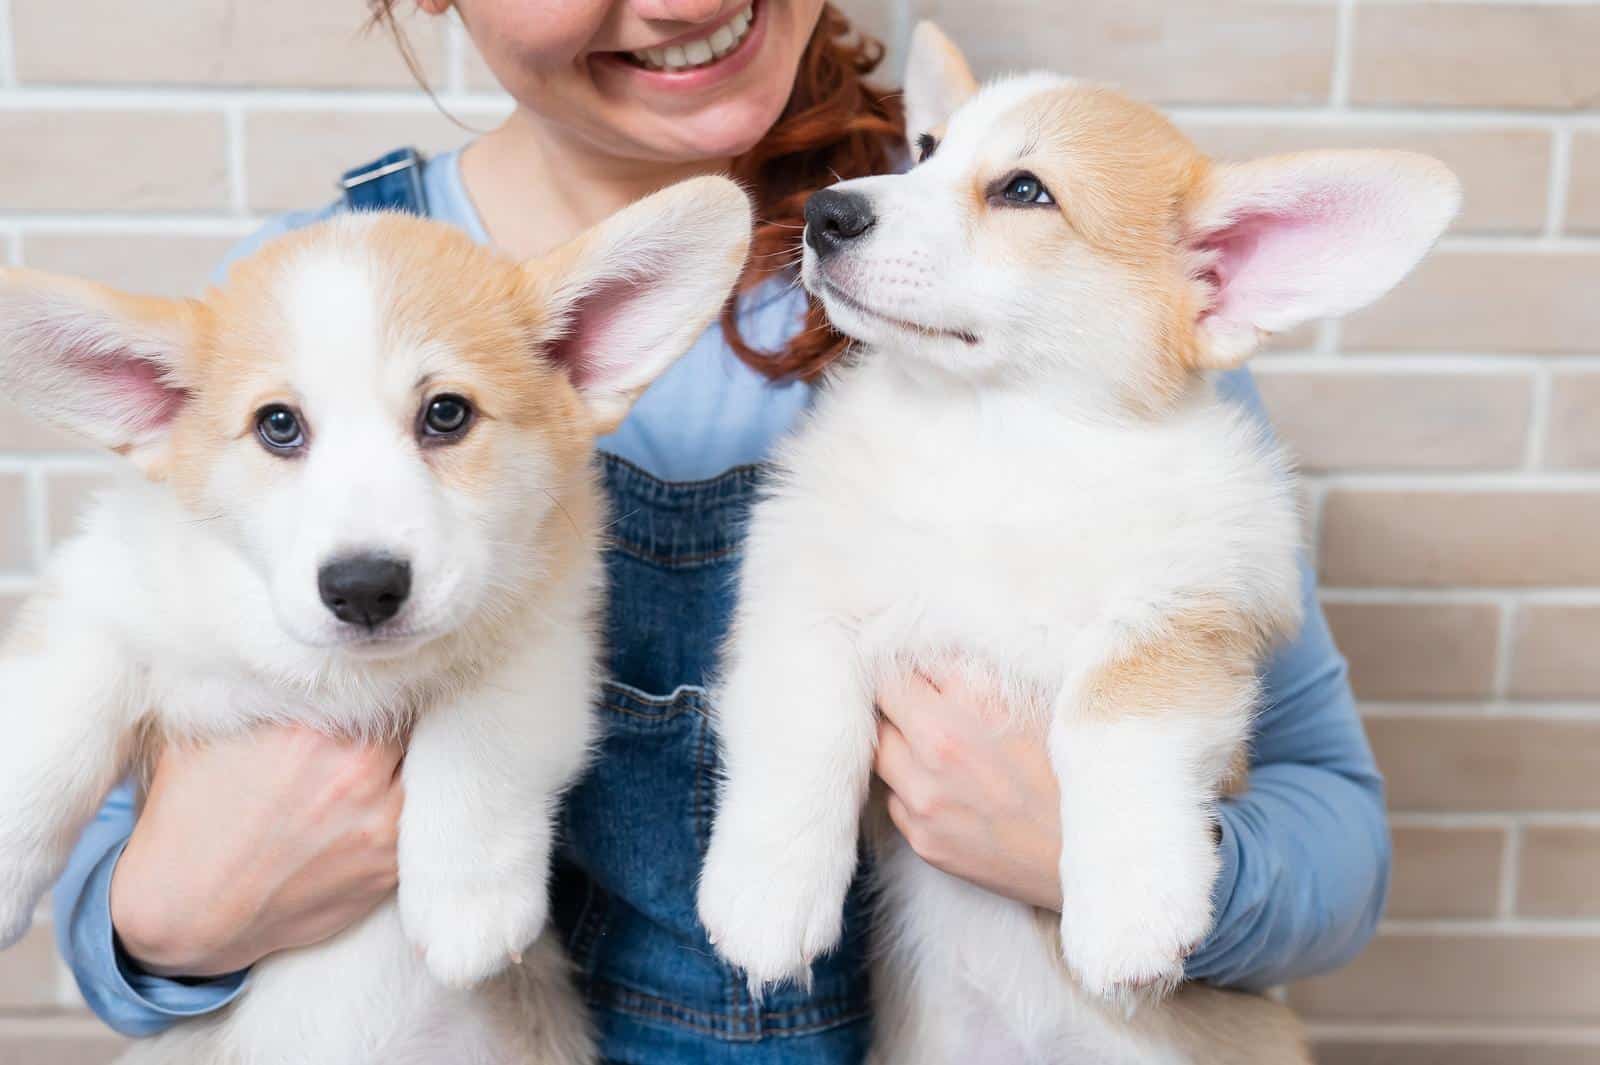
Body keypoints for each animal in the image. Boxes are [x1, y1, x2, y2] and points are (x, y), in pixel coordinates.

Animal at [0, 175, 752, 1061]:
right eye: (278, 425)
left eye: (447, 414)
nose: (363, 587)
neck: (337, 674)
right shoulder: (102, 594)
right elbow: (54, 725)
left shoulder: (550, 638)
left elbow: (480, 732)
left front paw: (466, 900)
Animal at [694, 22, 1459, 1061]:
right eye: (926, 151)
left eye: (1025, 191)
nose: (826, 212)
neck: (1000, 443)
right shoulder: (805, 592)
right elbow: (806, 724)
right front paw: (766, 899)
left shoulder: (1183, 614)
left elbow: (1113, 718)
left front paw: (1133, 911)